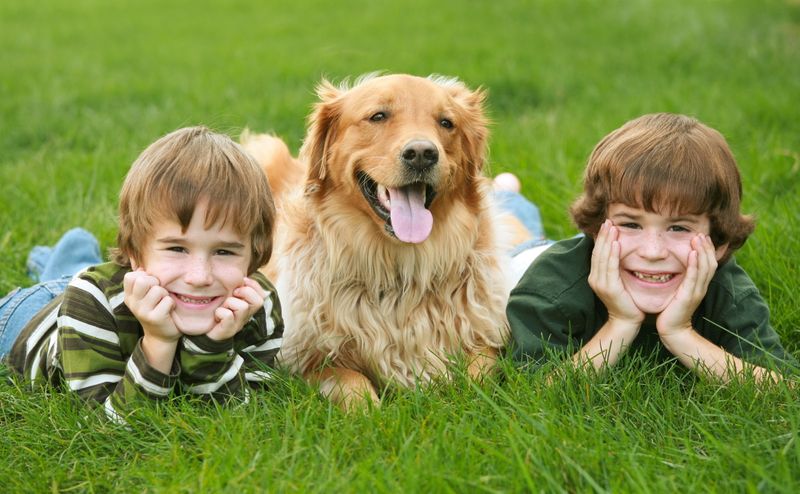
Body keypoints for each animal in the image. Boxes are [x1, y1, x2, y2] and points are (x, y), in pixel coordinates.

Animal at [241, 72, 510, 406]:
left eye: (446, 122)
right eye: (378, 116)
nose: (422, 154)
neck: (399, 270)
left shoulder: (484, 337)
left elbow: (478, 374)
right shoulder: (301, 359)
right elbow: (352, 384)